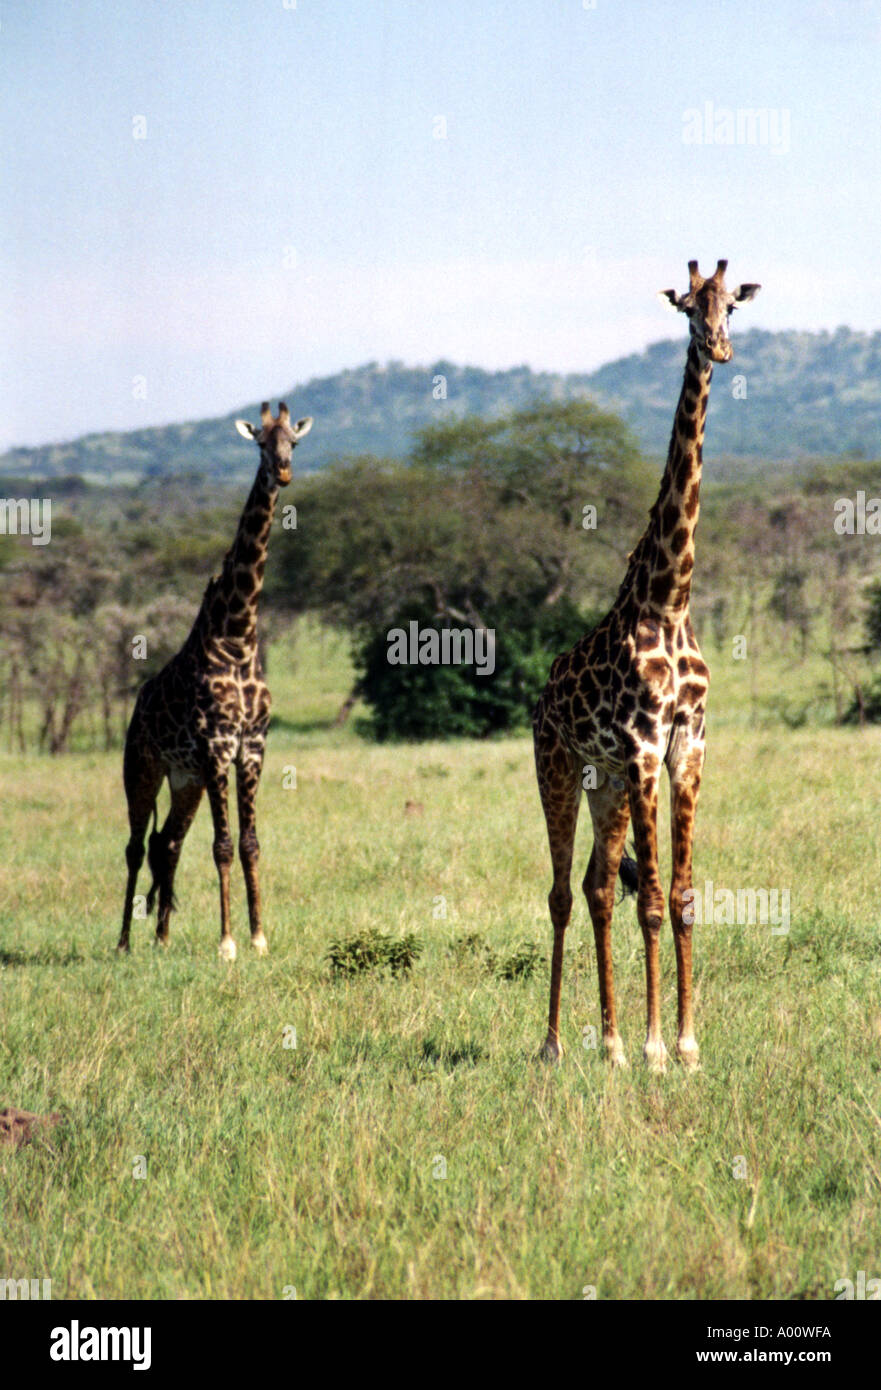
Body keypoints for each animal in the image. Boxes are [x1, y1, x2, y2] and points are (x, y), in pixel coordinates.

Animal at [117, 402, 313, 960]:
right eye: (260, 444)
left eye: (294, 441)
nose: (283, 473)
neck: (239, 638)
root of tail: (137, 706)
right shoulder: (215, 746)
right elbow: (223, 845)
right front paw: (227, 944)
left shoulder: (251, 747)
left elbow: (249, 843)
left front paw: (258, 937)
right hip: (144, 767)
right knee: (135, 846)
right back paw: (123, 942)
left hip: (186, 781)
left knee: (167, 843)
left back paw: (161, 938)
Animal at [532, 259, 760, 1069]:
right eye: (686, 306)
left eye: (731, 305)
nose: (718, 347)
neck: (669, 596)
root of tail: (542, 693)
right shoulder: (640, 747)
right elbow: (655, 900)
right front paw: (661, 1045)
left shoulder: (685, 743)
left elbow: (684, 895)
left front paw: (686, 1045)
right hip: (560, 764)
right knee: (561, 893)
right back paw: (555, 1045)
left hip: (604, 784)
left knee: (599, 888)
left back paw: (609, 1043)